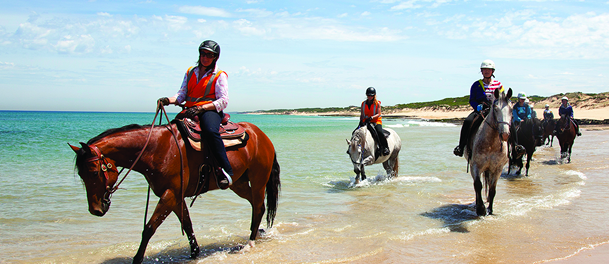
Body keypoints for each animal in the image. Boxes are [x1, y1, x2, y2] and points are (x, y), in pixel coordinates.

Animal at [69, 121, 280, 264]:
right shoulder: (176, 197)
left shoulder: (170, 195)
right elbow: (187, 224)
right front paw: (194, 253)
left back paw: (250, 242)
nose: (96, 209)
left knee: (258, 206)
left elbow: (149, 228)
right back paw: (256, 233)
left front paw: (137, 259)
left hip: (258, 180)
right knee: (256, 205)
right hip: (238, 183)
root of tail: (262, 136)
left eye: (94, 172)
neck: (156, 149)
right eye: (80, 174)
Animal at [466, 87, 512, 216]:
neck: (491, 144)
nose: (505, 135)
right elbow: (478, 185)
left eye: (511, 109)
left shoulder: (498, 169)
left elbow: (492, 189)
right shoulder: (475, 165)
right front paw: (481, 209)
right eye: (495, 109)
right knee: (476, 185)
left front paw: (490, 210)